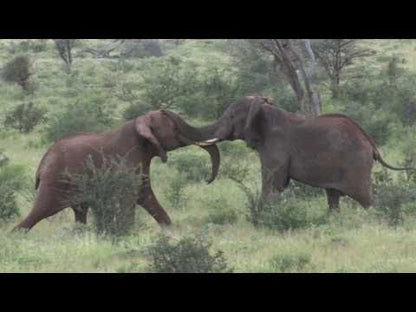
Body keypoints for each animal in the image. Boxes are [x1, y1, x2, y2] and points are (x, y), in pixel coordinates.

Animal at [11, 109, 219, 232]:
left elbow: (147, 197)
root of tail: (43, 161)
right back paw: (16, 236)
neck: (138, 123)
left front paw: (170, 233)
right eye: (175, 128)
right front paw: (129, 234)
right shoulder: (127, 162)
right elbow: (129, 199)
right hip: (56, 181)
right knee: (41, 211)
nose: (207, 181)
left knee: (80, 212)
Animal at [163, 96, 412, 211]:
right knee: (333, 197)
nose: (163, 111)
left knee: (366, 198)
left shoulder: (276, 148)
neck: (264, 109)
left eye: (232, 116)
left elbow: (273, 183)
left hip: (355, 166)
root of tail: (370, 143)